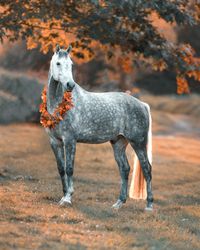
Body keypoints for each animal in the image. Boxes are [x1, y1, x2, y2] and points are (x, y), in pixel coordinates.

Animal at [44, 45, 153, 211]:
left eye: (71, 64)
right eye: (58, 63)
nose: (70, 85)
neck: (59, 105)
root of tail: (142, 104)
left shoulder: (70, 140)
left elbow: (69, 168)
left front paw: (68, 198)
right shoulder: (55, 142)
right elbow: (61, 169)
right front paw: (63, 196)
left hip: (138, 143)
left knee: (147, 168)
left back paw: (149, 205)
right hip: (119, 143)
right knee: (125, 169)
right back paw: (118, 203)